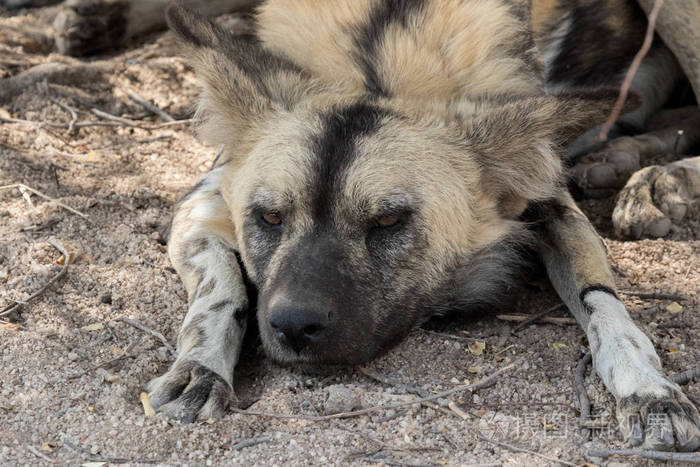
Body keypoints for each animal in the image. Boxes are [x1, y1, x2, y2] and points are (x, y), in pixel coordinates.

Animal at [120, 0, 700, 454]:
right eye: (269, 217)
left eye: (387, 221)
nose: (293, 327)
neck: (378, 68)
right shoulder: (202, 201)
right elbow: (218, 292)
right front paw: (200, 368)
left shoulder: (548, 201)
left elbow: (606, 307)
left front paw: (649, 389)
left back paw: (657, 181)